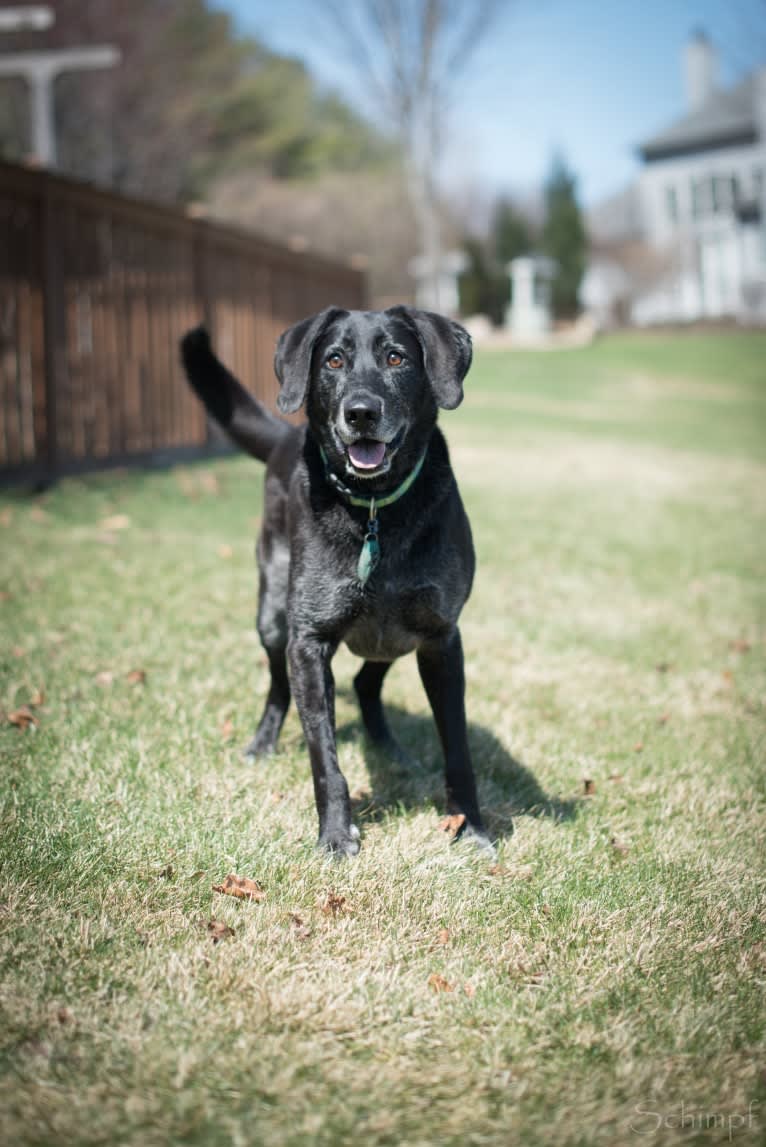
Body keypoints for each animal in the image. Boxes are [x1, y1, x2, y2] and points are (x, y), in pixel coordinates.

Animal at [181, 309, 490, 857]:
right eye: (334, 360)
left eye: (397, 357)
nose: (361, 413)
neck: (375, 509)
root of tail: (284, 438)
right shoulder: (309, 641)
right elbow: (324, 756)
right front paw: (335, 834)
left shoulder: (440, 640)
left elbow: (457, 747)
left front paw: (469, 828)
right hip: (273, 618)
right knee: (279, 687)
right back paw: (262, 744)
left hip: (395, 638)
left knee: (367, 682)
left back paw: (388, 748)